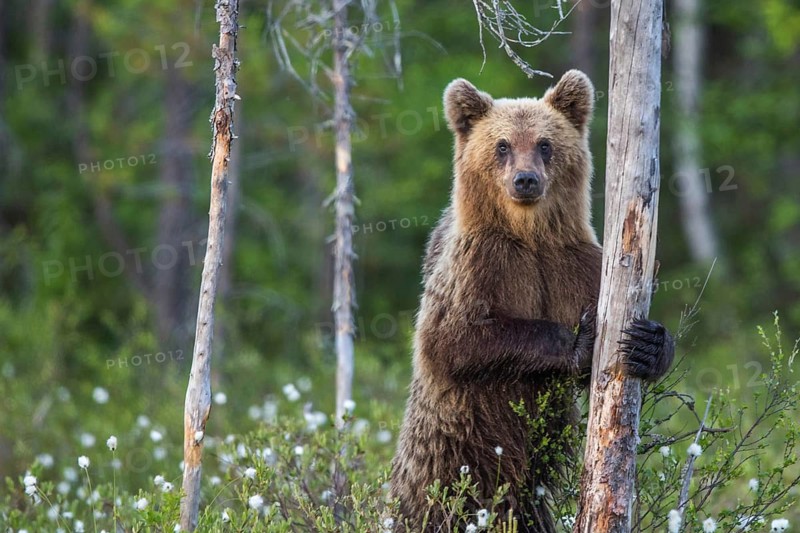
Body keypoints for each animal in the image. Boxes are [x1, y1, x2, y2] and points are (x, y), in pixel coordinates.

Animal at [389, 70, 675, 533]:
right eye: (502, 145)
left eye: (545, 144)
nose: (526, 180)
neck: (528, 233)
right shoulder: (479, 266)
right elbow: (455, 339)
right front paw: (579, 340)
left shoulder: (573, 265)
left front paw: (648, 343)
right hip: (444, 450)